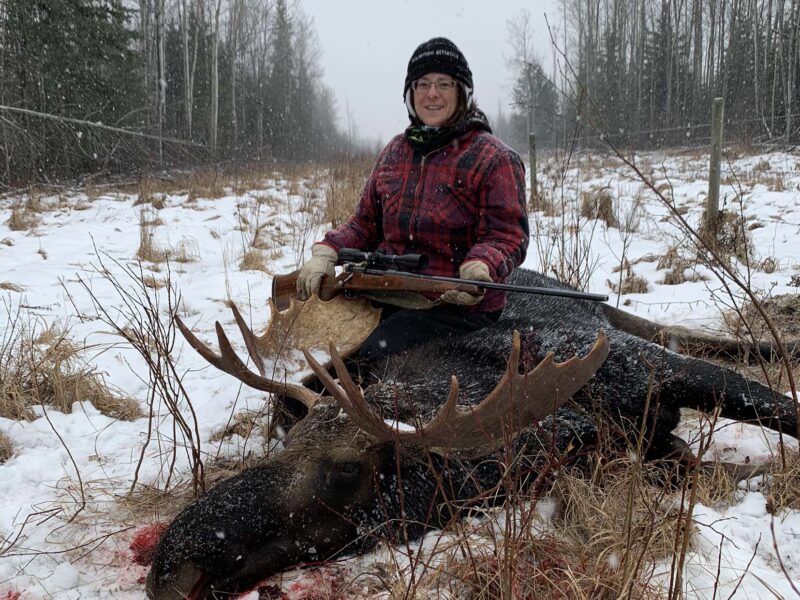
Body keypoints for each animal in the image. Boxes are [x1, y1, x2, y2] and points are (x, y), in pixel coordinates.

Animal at [147, 268, 796, 600]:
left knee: (691, 335)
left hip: (632, 330)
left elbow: (779, 408)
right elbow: (695, 465)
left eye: (347, 471)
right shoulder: (644, 447)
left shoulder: (655, 370)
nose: (173, 563)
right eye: (287, 441)